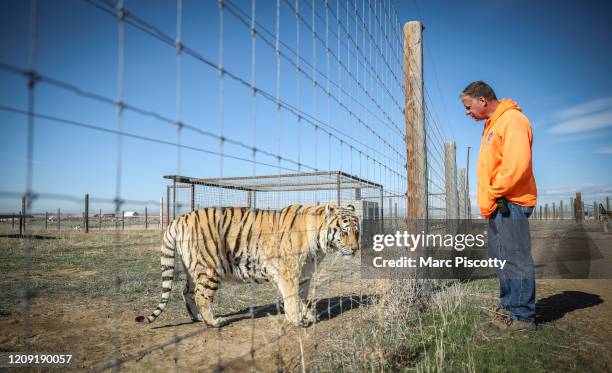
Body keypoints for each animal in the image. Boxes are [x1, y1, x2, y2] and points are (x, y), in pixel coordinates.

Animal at [136, 202, 360, 326]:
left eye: (357, 232)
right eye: (344, 231)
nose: (356, 249)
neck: (319, 244)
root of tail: (178, 219)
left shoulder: (305, 275)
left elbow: (303, 298)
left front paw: (309, 317)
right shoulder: (288, 272)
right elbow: (292, 298)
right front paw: (297, 320)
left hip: (193, 269)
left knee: (187, 292)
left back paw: (198, 318)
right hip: (209, 268)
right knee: (201, 296)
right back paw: (214, 322)